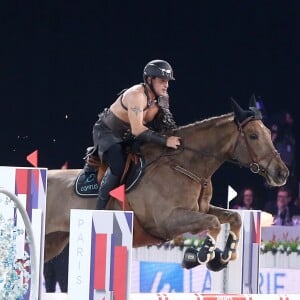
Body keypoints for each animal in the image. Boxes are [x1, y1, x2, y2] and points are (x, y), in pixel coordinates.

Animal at [44, 96, 288, 272]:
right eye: (253, 135)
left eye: (269, 132)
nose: (282, 173)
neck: (185, 165)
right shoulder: (167, 221)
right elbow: (214, 223)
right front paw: (199, 256)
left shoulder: (199, 209)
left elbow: (234, 216)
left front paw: (224, 257)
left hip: (54, 242)